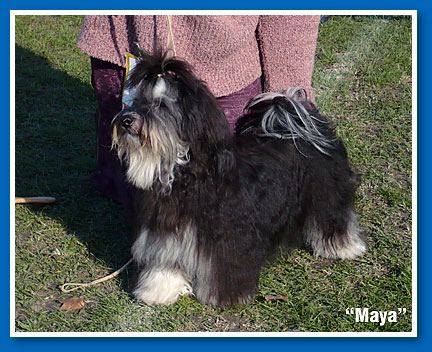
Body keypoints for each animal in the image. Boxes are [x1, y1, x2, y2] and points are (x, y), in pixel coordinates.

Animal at [110, 51, 364, 306]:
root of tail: (300, 125)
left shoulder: (227, 238)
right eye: (136, 102)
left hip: (328, 193)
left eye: (160, 104)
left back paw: (344, 248)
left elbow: (224, 267)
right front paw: (159, 291)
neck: (184, 174)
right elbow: (163, 261)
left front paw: (225, 297)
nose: (125, 120)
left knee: (334, 218)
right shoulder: (164, 230)